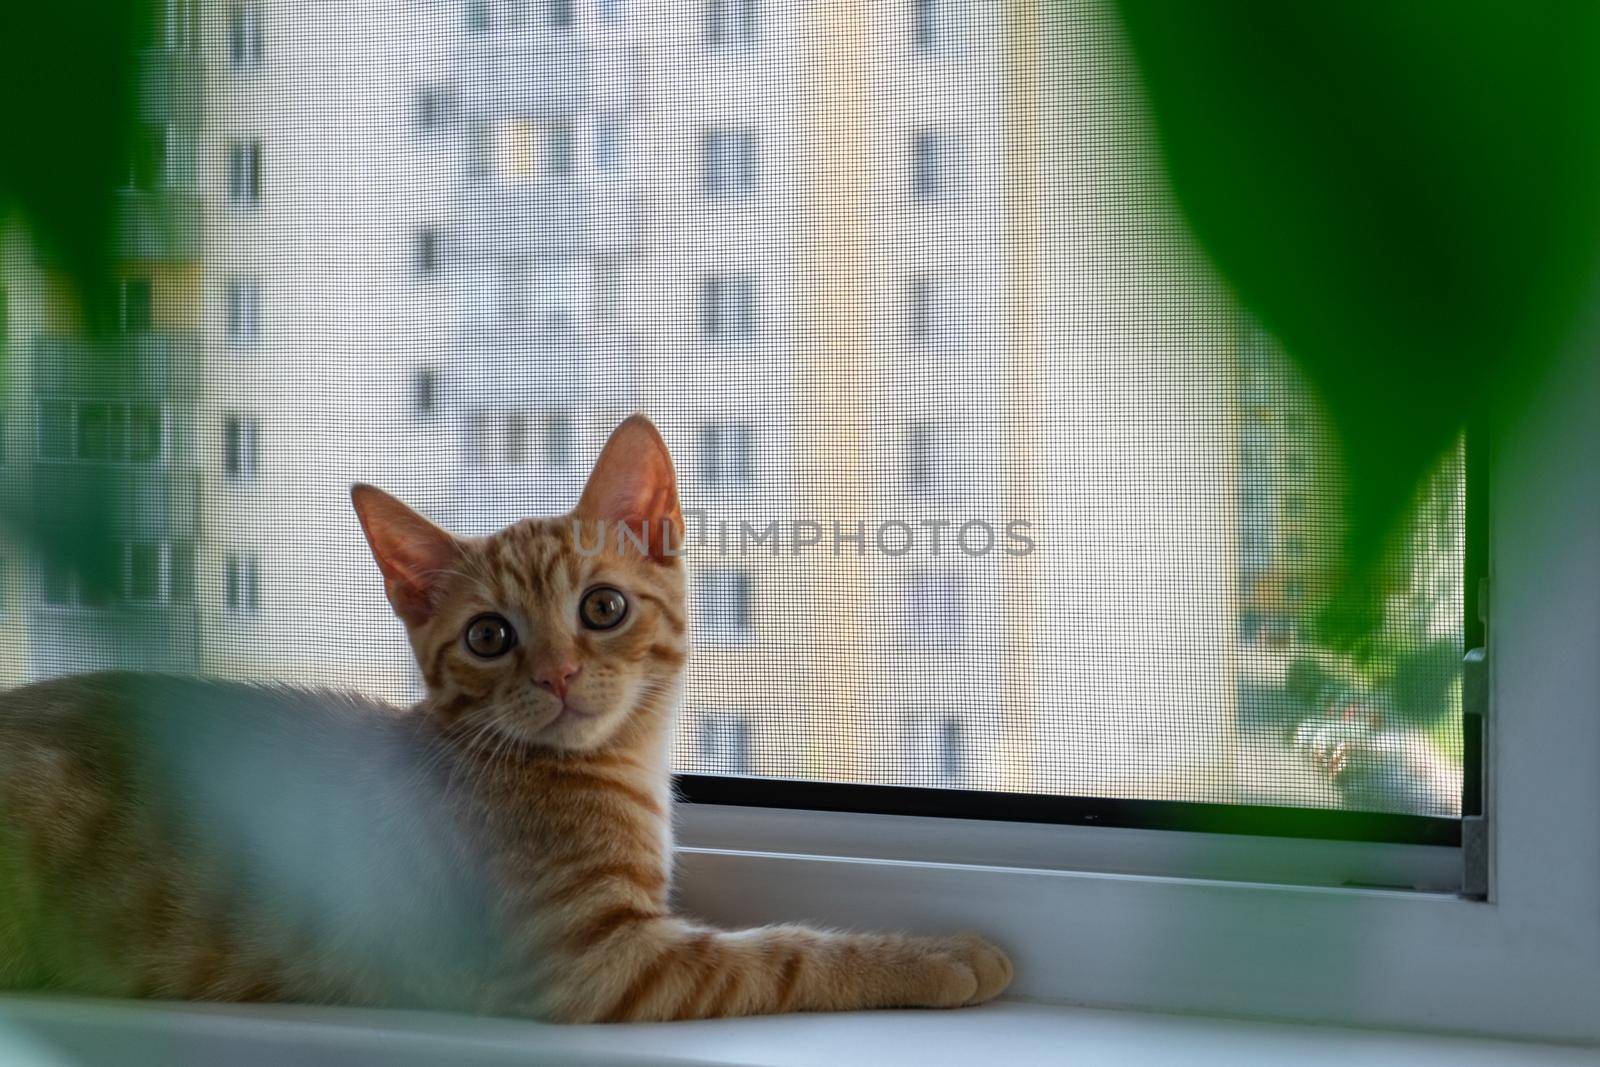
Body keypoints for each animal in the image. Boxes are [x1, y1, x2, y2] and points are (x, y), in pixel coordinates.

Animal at [0, 415, 1011, 1017]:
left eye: (603, 607)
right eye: (489, 635)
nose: (558, 673)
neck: (608, 768)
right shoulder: (595, 961)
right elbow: (784, 954)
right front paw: (937, 956)